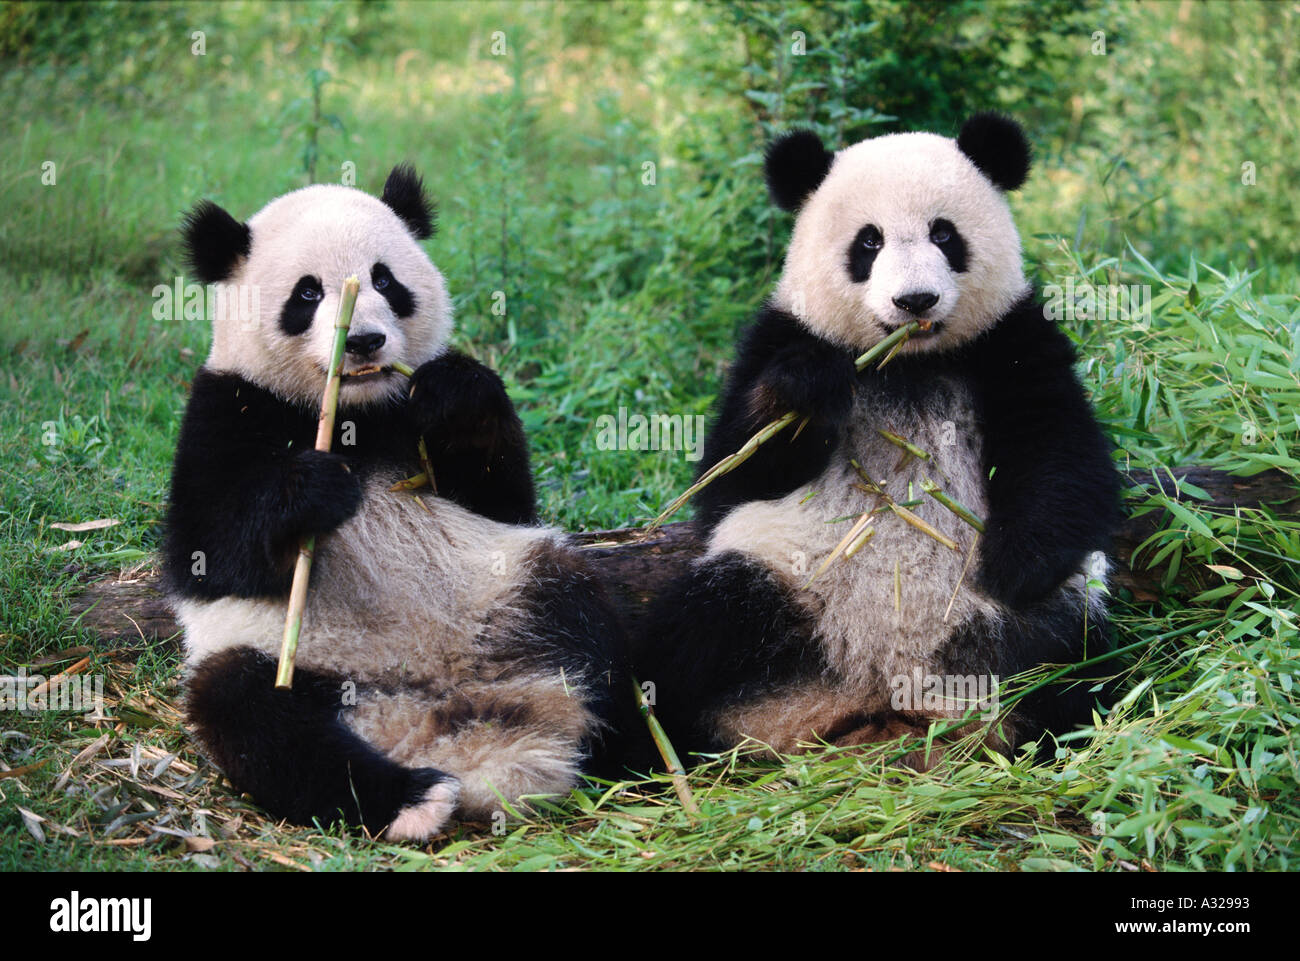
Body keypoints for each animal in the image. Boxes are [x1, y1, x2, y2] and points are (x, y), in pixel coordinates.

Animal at [165, 165, 642, 842]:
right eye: (307, 294)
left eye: (385, 279)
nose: (365, 341)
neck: (355, 415)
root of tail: (431, 713)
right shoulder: (227, 409)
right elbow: (205, 550)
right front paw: (314, 492)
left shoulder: (417, 431)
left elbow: (504, 498)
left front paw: (456, 393)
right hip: (290, 658)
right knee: (254, 717)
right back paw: (411, 799)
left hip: (513, 587)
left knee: (590, 626)